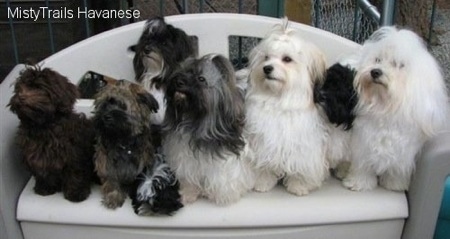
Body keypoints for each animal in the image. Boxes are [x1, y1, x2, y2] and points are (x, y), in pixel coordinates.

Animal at [8, 67, 96, 202]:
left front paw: (76, 193)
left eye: (38, 87)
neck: (43, 126)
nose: (21, 96)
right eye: (19, 88)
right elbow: (42, 173)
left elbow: (75, 173)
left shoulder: (75, 155)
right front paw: (45, 188)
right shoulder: (35, 156)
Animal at [92, 80, 159, 209]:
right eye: (104, 105)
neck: (123, 142)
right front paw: (114, 196)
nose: (105, 116)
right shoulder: (106, 165)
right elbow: (112, 180)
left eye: (123, 106)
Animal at [244, 17, 328, 195]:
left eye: (287, 59)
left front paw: (299, 185)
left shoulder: (303, 146)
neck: (279, 99)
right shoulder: (264, 144)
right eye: (266, 57)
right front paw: (263, 182)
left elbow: (300, 166)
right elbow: (265, 165)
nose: (267, 68)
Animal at [342, 26, 448, 191]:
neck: (385, 105)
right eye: (378, 59)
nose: (375, 71)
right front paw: (359, 183)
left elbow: (397, 169)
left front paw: (395, 184)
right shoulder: (363, 144)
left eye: (399, 65)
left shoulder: (404, 151)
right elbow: (362, 166)